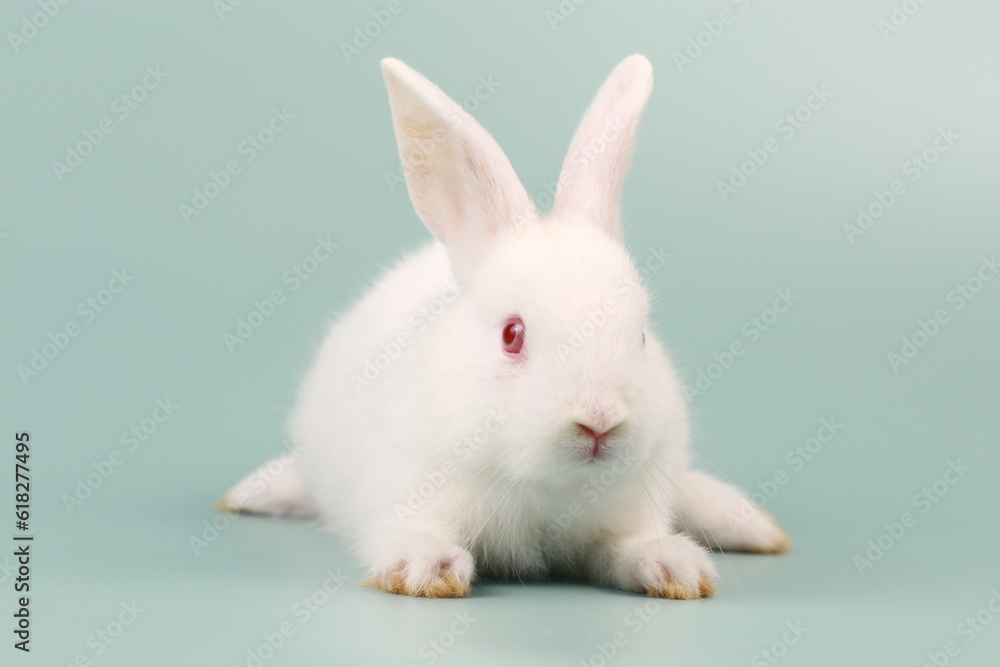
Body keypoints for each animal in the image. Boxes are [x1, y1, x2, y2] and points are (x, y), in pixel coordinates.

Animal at [218, 54, 791, 599]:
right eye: (511, 335)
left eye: (642, 336)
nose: (599, 422)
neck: (546, 487)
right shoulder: (412, 489)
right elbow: (412, 533)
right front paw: (426, 570)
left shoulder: (629, 512)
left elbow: (630, 548)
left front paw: (675, 569)